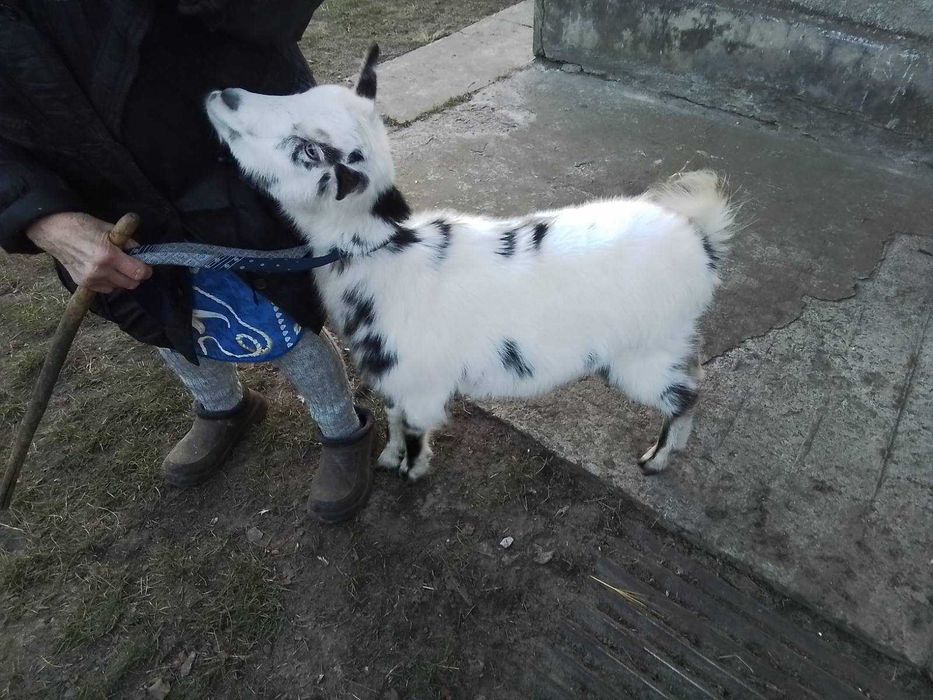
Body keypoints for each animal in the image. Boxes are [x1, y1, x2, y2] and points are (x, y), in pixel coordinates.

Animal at [206, 46, 736, 480]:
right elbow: (393, 418)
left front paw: (411, 471)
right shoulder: (395, 379)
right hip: (670, 341)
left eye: (309, 150)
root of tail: (698, 237)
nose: (221, 94)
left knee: (685, 397)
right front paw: (387, 459)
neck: (386, 256)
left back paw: (657, 460)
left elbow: (413, 428)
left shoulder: (416, 380)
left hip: (643, 354)